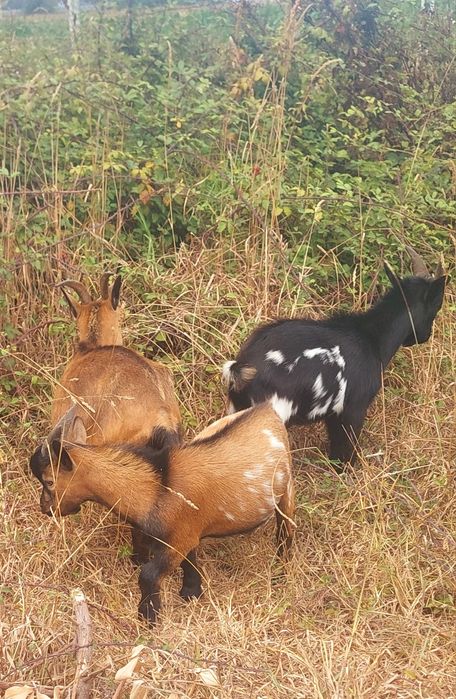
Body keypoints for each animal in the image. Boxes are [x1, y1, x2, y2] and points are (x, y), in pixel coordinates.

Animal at [30, 403, 295, 625]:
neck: (157, 487)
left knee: (286, 530)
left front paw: (148, 616)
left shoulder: (178, 539)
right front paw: (191, 593)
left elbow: (147, 574)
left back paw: (281, 572)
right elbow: (190, 561)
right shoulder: (186, 534)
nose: (45, 508)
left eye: (49, 481)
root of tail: (268, 409)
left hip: (286, 490)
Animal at [223, 247, 447, 469]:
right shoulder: (352, 411)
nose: (424, 336)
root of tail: (244, 366)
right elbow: (344, 453)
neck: (371, 338)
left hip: (236, 410)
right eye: (437, 304)